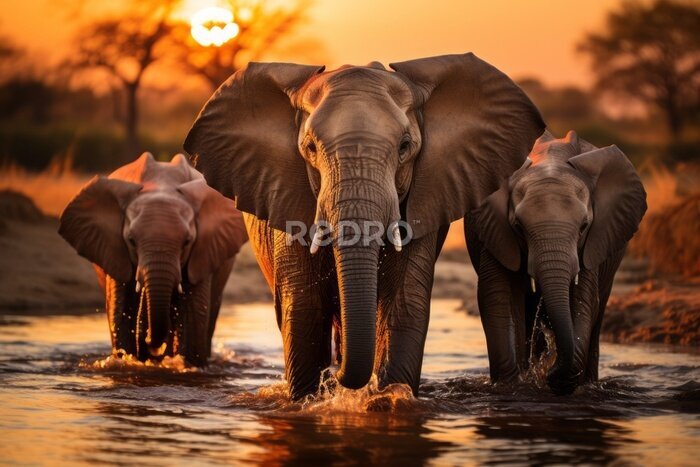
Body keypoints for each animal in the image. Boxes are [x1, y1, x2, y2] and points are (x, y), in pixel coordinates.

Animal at [59, 152, 247, 366]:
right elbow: (119, 311)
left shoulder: (202, 252)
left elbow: (194, 314)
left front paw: (185, 363)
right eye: (131, 240)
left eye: (187, 242)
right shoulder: (115, 251)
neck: (161, 185)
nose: (149, 341)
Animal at [184, 53, 545, 399]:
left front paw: (387, 399)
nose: (336, 379)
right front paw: (309, 400)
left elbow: (405, 304)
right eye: (310, 148)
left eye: (404, 147)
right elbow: (304, 308)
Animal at [466, 131, 647, 394]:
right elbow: (498, 296)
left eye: (583, 227)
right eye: (519, 227)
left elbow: (582, 301)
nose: (547, 371)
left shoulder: (593, 241)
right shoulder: (494, 230)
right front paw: (513, 386)